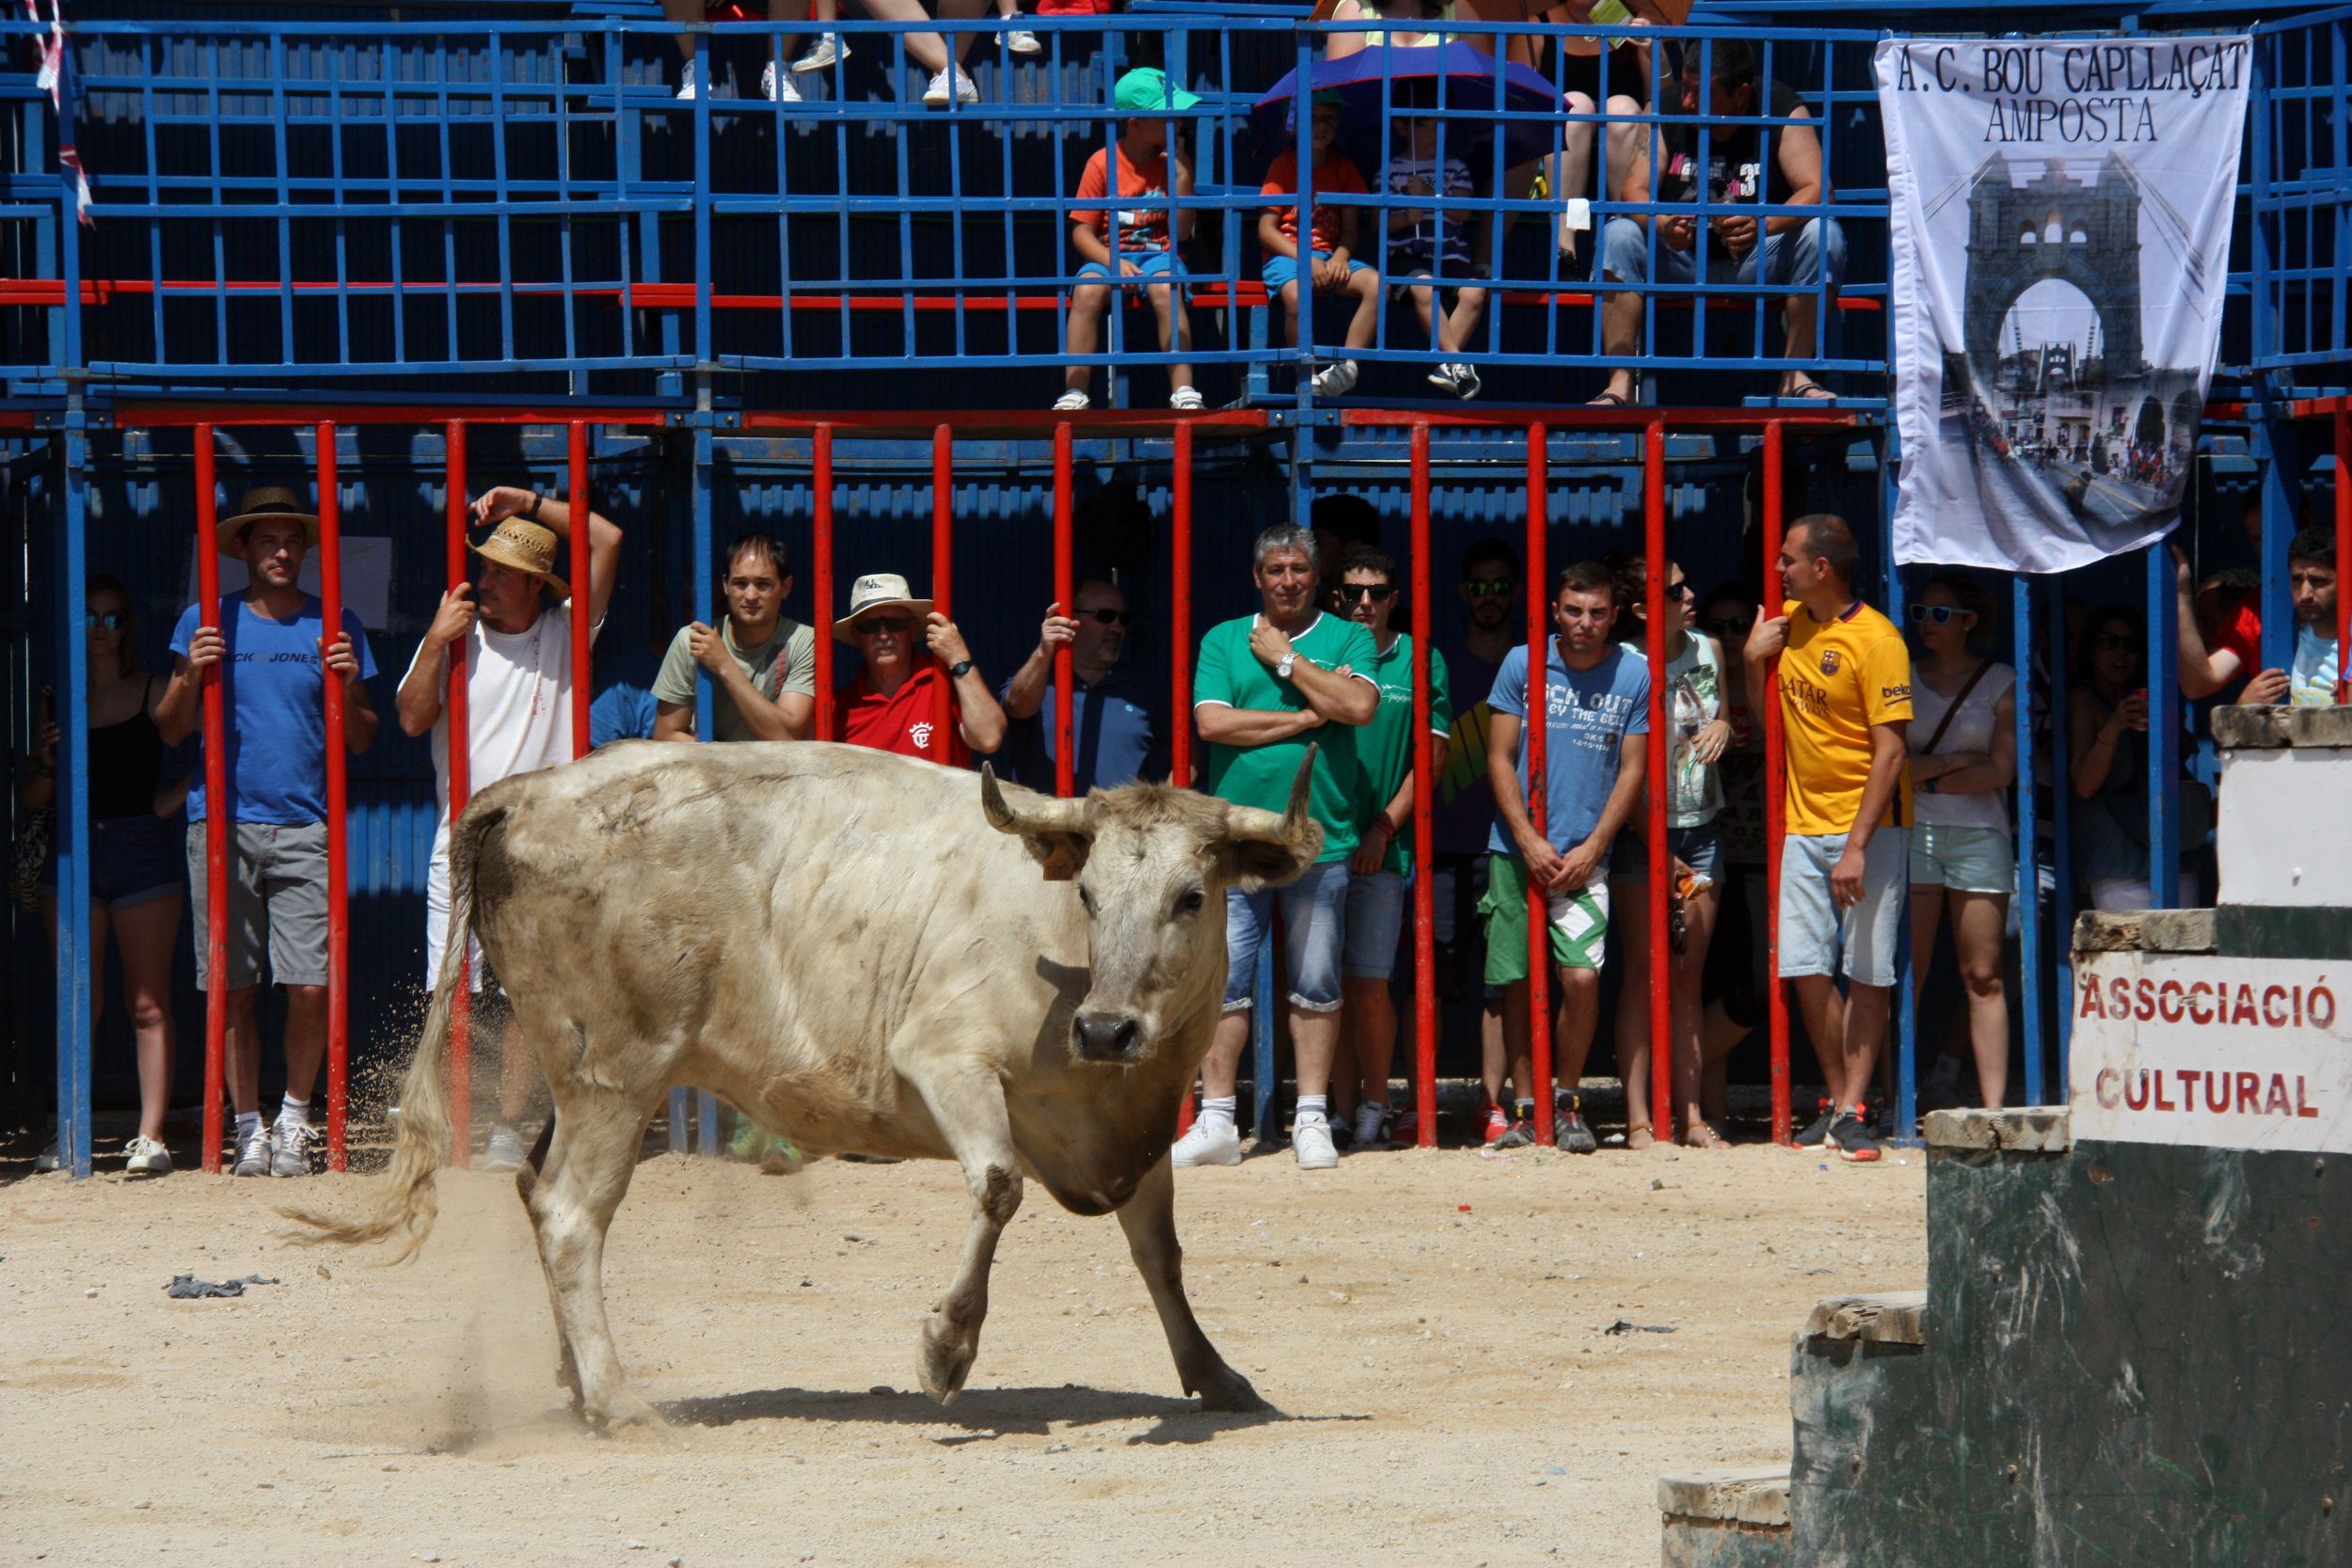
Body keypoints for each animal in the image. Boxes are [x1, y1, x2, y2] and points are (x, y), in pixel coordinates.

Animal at [289, 742, 1327, 1429]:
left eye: (1191, 896)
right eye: (1089, 894)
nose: (1107, 1028)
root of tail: (526, 792)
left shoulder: (1135, 1127)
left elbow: (1160, 1253)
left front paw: (1215, 1373)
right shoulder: (943, 1061)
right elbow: (997, 1186)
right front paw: (946, 1348)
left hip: (576, 1076)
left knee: (534, 1190)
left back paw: (578, 1382)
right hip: (619, 1074)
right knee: (572, 1213)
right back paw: (619, 1396)